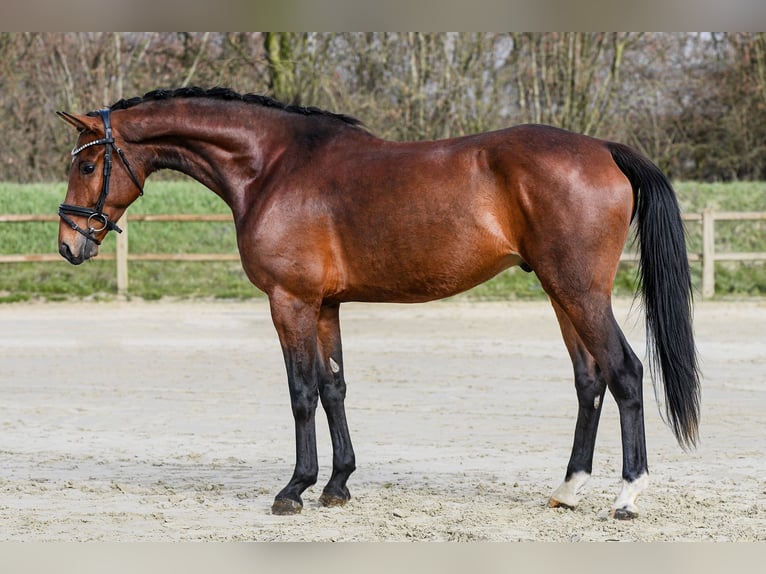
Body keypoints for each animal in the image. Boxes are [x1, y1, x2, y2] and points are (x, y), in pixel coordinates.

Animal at [57, 86, 700, 520]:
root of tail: (605, 150)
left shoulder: (290, 302)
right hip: (560, 293)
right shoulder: (325, 305)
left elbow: (301, 392)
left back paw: (628, 494)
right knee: (590, 380)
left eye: (87, 163)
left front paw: (294, 489)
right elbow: (334, 387)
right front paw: (337, 485)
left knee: (625, 372)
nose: (69, 243)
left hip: (579, 291)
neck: (273, 167)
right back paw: (567, 489)